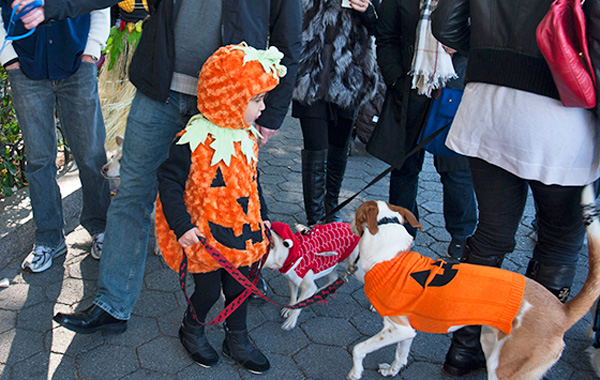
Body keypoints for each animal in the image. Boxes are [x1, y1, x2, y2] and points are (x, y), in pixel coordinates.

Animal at [346, 189, 600, 378]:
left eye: (356, 214)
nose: (349, 225)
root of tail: (562, 311)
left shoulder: (397, 327)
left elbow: (359, 348)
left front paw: (355, 372)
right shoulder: (407, 330)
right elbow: (401, 354)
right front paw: (392, 370)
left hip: (506, 366)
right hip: (490, 340)